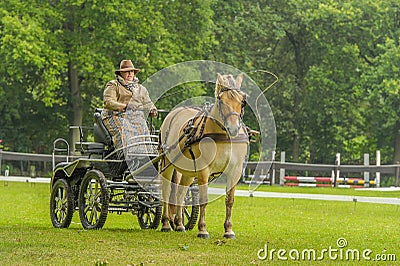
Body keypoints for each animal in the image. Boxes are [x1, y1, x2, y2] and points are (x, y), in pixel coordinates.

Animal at [158, 72, 248, 239]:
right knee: (166, 192)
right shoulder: (204, 170)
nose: (233, 128)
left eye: (242, 101)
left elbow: (230, 200)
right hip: (167, 163)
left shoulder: (235, 170)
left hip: (187, 171)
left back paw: (179, 224)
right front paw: (203, 229)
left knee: (180, 193)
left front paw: (229, 230)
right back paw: (166, 223)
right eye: (221, 100)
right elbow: (203, 199)